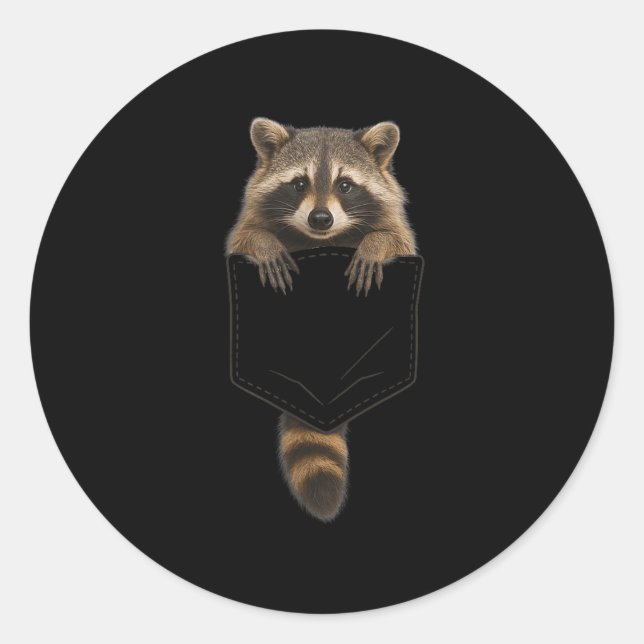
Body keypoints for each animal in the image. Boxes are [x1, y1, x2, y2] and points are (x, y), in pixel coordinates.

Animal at [226, 118, 416, 521]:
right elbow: (246, 235)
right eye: (299, 184)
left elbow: (393, 238)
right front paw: (264, 244)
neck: (320, 238)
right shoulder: (250, 218)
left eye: (345, 185)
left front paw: (375, 246)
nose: (320, 218)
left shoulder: (397, 224)